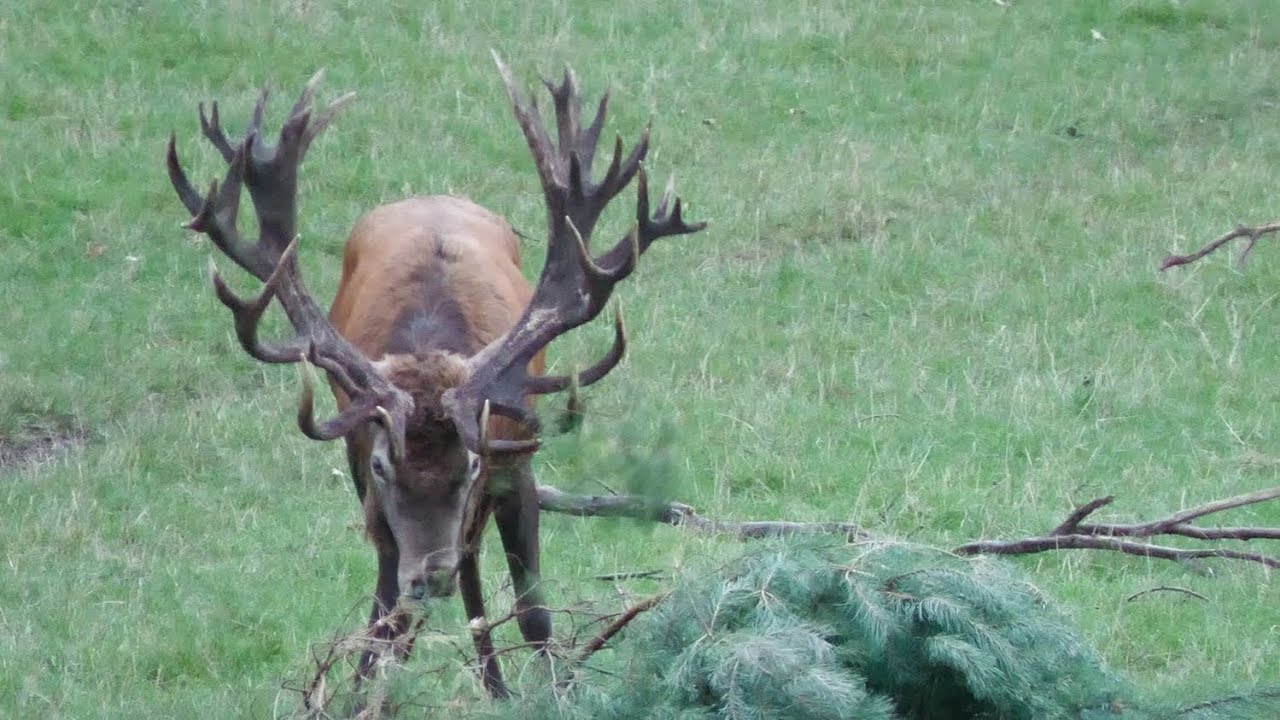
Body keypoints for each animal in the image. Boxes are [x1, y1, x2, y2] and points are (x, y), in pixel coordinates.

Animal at [164, 56, 703, 697]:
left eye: (469, 464)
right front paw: (364, 691)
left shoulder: (515, 459)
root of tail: (429, 197)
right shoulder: (366, 470)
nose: (431, 574)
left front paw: (550, 689)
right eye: (383, 464)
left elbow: (533, 610)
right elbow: (385, 613)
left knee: (474, 569)